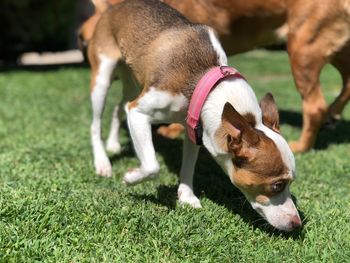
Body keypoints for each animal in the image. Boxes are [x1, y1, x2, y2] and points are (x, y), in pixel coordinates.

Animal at [78, 0, 350, 153]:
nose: (82, 42)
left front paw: (171, 131)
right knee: (346, 84)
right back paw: (332, 116)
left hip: (303, 49)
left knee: (315, 105)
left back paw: (303, 144)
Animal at [87, 0, 300, 231]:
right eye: (277, 185)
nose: (297, 223)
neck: (204, 80)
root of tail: (113, 7)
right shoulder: (138, 113)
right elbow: (152, 166)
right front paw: (131, 178)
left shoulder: (194, 127)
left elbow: (188, 166)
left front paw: (187, 197)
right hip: (103, 77)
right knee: (96, 123)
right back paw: (102, 162)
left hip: (131, 80)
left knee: (119, 107)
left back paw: (113, 144)